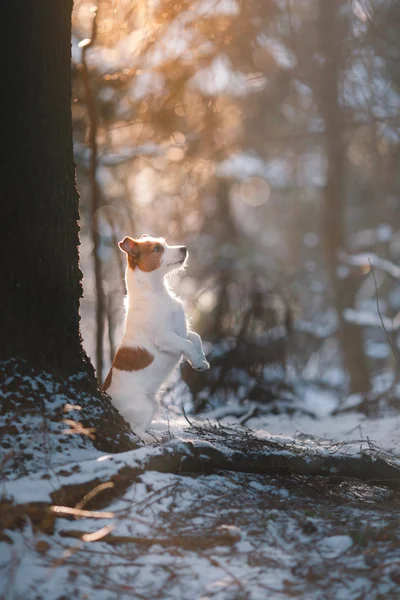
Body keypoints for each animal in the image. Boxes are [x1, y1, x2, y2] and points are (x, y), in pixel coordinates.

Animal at [102, 233, 209, 436]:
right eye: (157, 249)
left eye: (165, 243)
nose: (184, 248)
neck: (155, 292)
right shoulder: (166, 338)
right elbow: (187, 343)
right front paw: (198, 362)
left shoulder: (181, 331)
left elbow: (195, 337)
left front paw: (201, 360)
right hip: (145, 406)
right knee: (136, 430)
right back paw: (152, 438)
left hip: (153, 403)